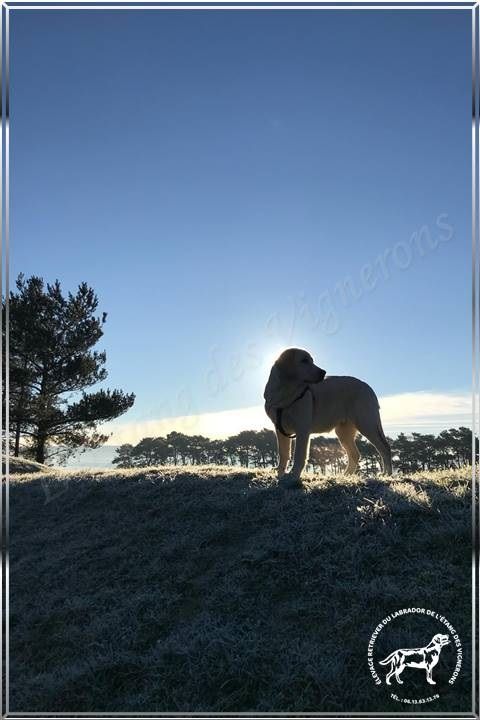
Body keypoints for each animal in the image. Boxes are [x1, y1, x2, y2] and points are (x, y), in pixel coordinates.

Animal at [264, 348, 392, 486]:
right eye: (304, 361)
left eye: (312, 361)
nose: (323, 372)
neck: (285, 394)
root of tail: (368, 387)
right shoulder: (280, 429)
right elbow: (283, 454)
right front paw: (280, 475)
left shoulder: (302, 429)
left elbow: (299, 455)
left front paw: (293, 476)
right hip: (344, 432)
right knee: (355, 454)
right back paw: (346, 475)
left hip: (366, 423)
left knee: (384, 448)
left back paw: (387, 475)